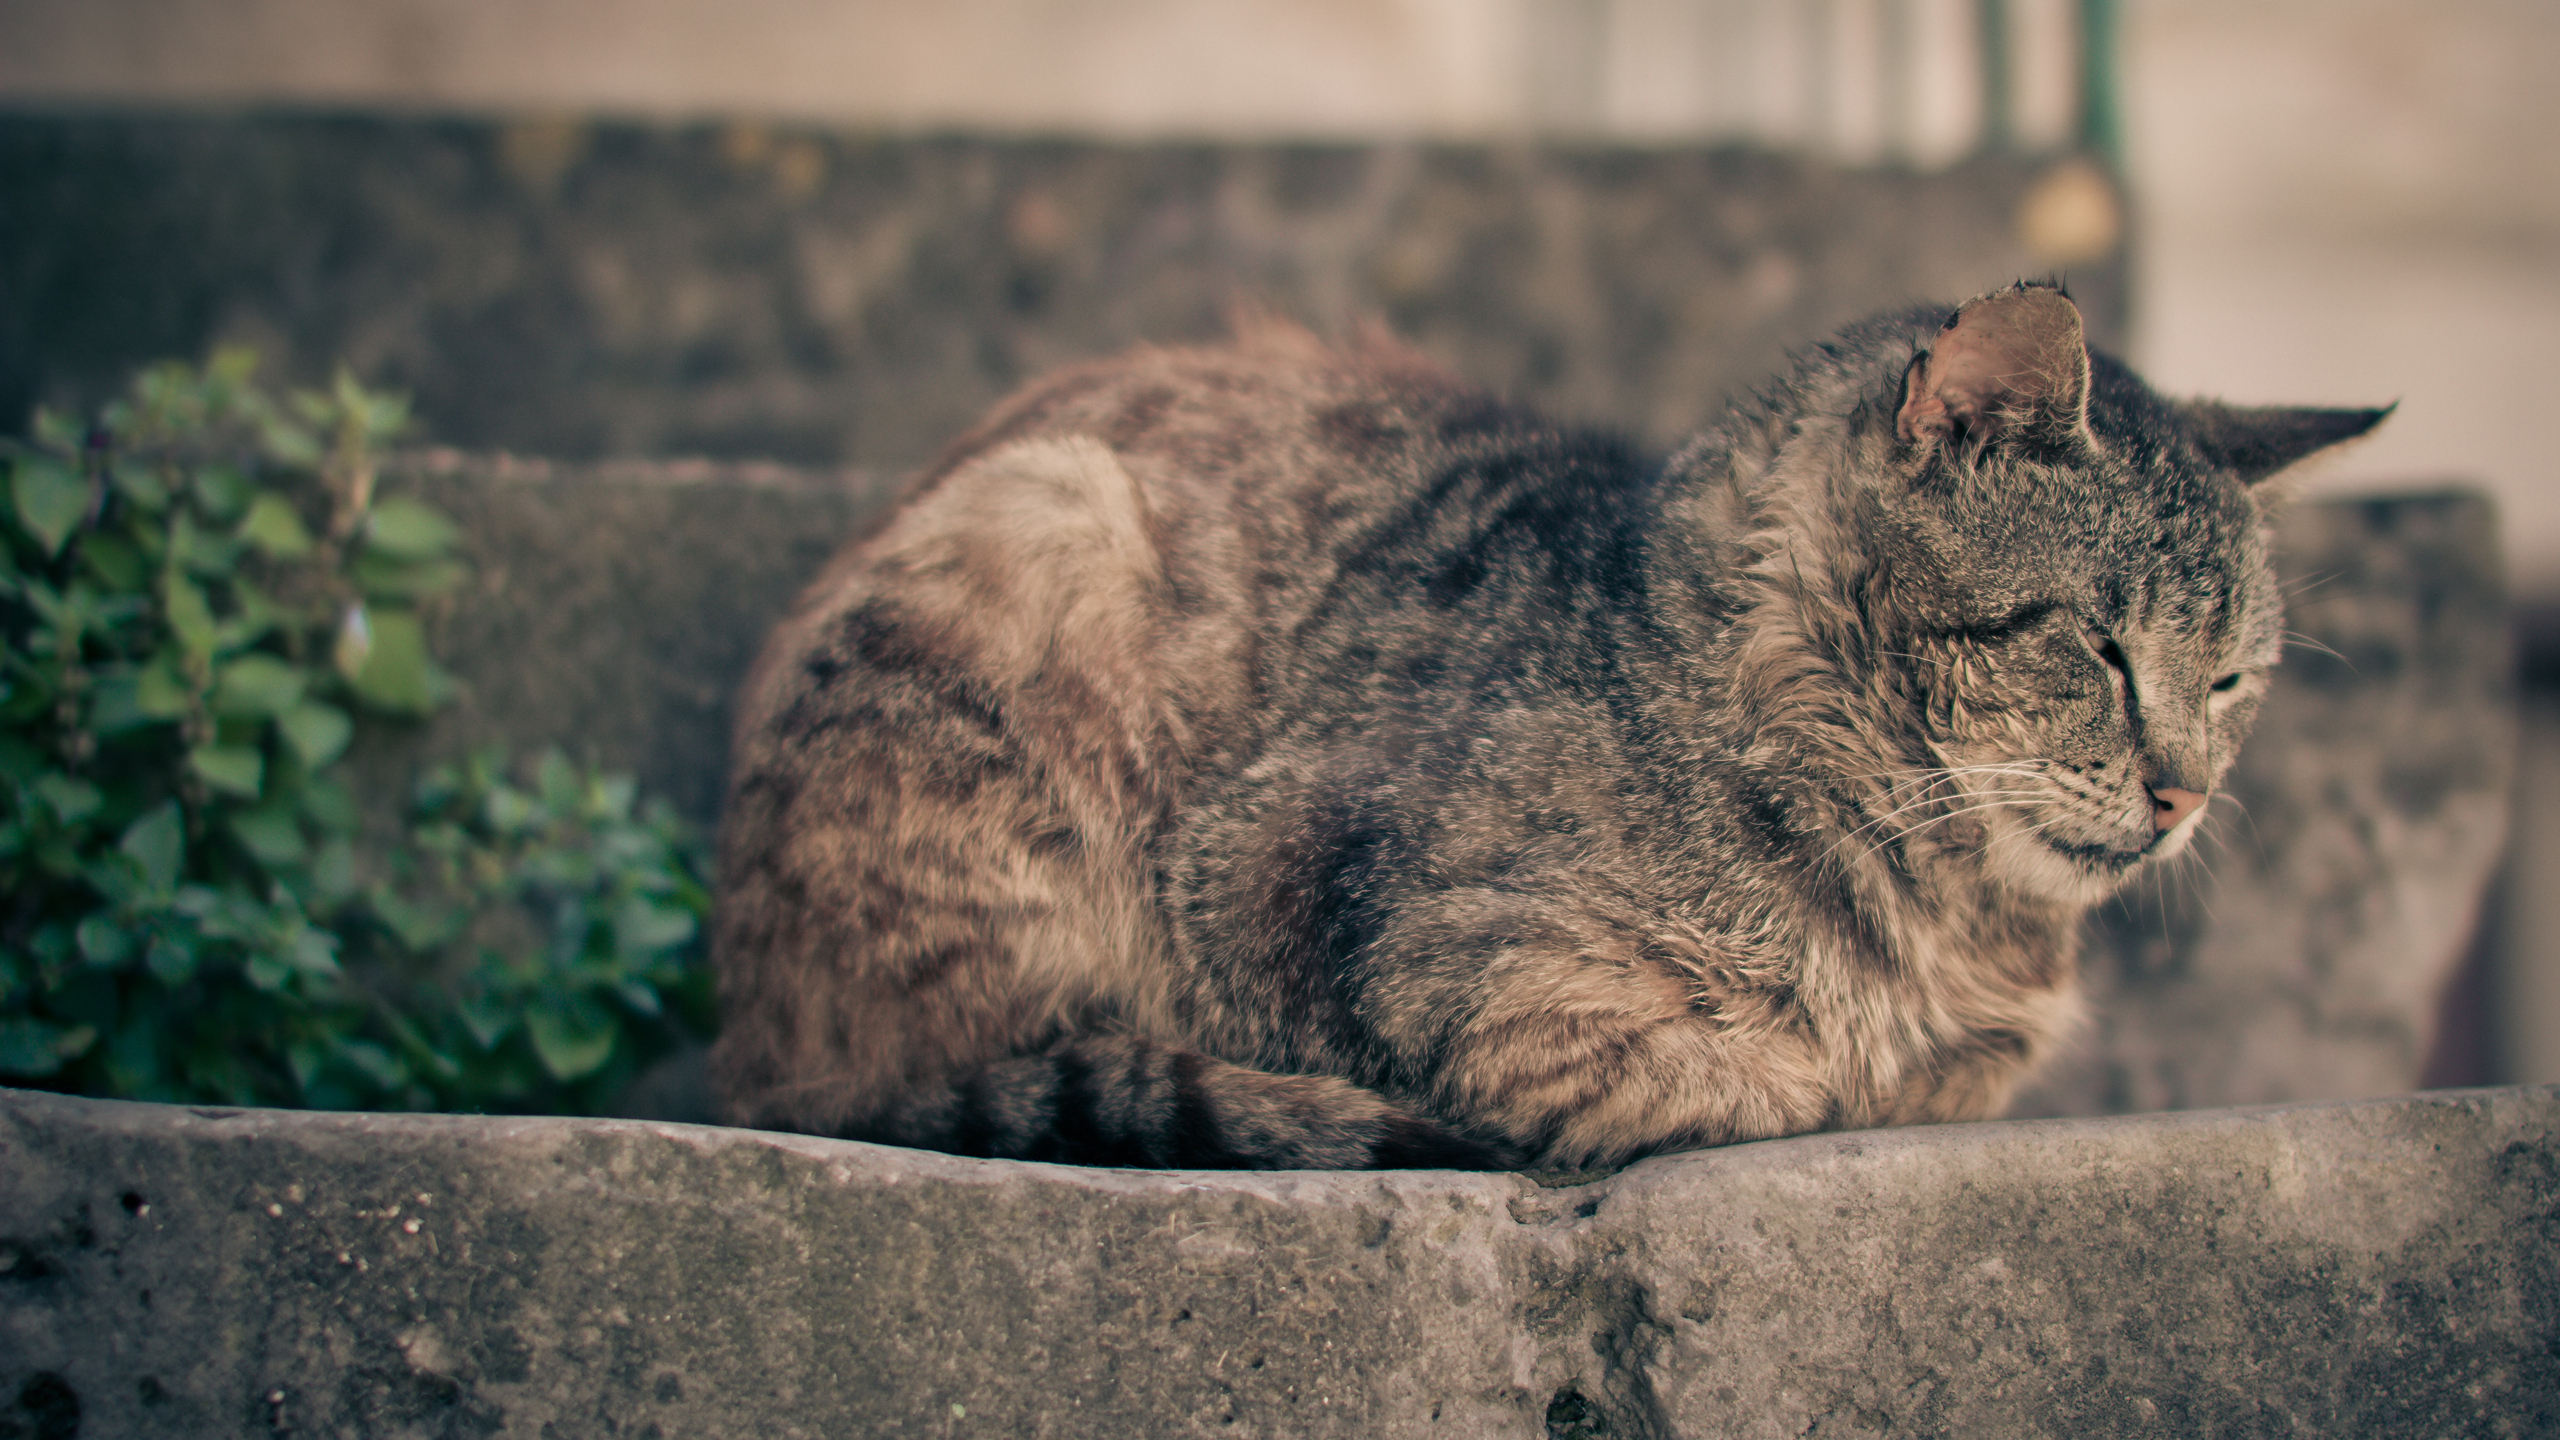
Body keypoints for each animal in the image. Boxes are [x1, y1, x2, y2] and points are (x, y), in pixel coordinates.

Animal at [701, 280, 2375, 1168]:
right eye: (2099, 646)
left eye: (2234, 678)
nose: (2182, 794)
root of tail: (754, 1041)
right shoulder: (1451, 959)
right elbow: (1761, 1079)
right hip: (1051, 523)